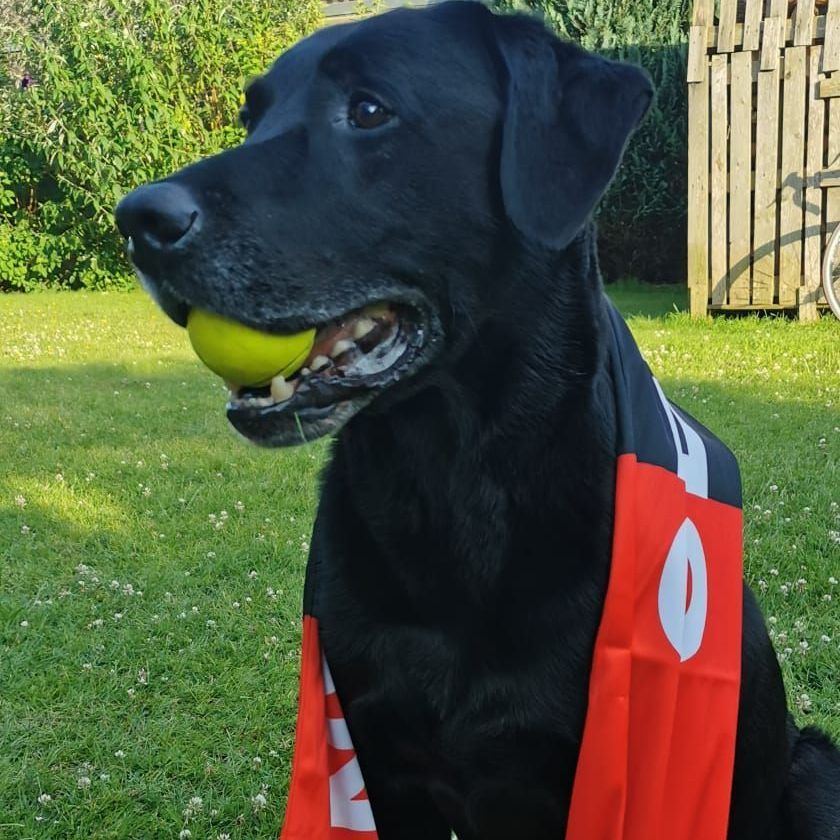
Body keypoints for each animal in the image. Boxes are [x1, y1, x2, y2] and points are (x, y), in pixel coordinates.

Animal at [115, 3, 840, 837]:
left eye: (369, 110)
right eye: (251, 117)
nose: (137, 219)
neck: (450, 479)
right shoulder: (377, 759)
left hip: (816, 770)